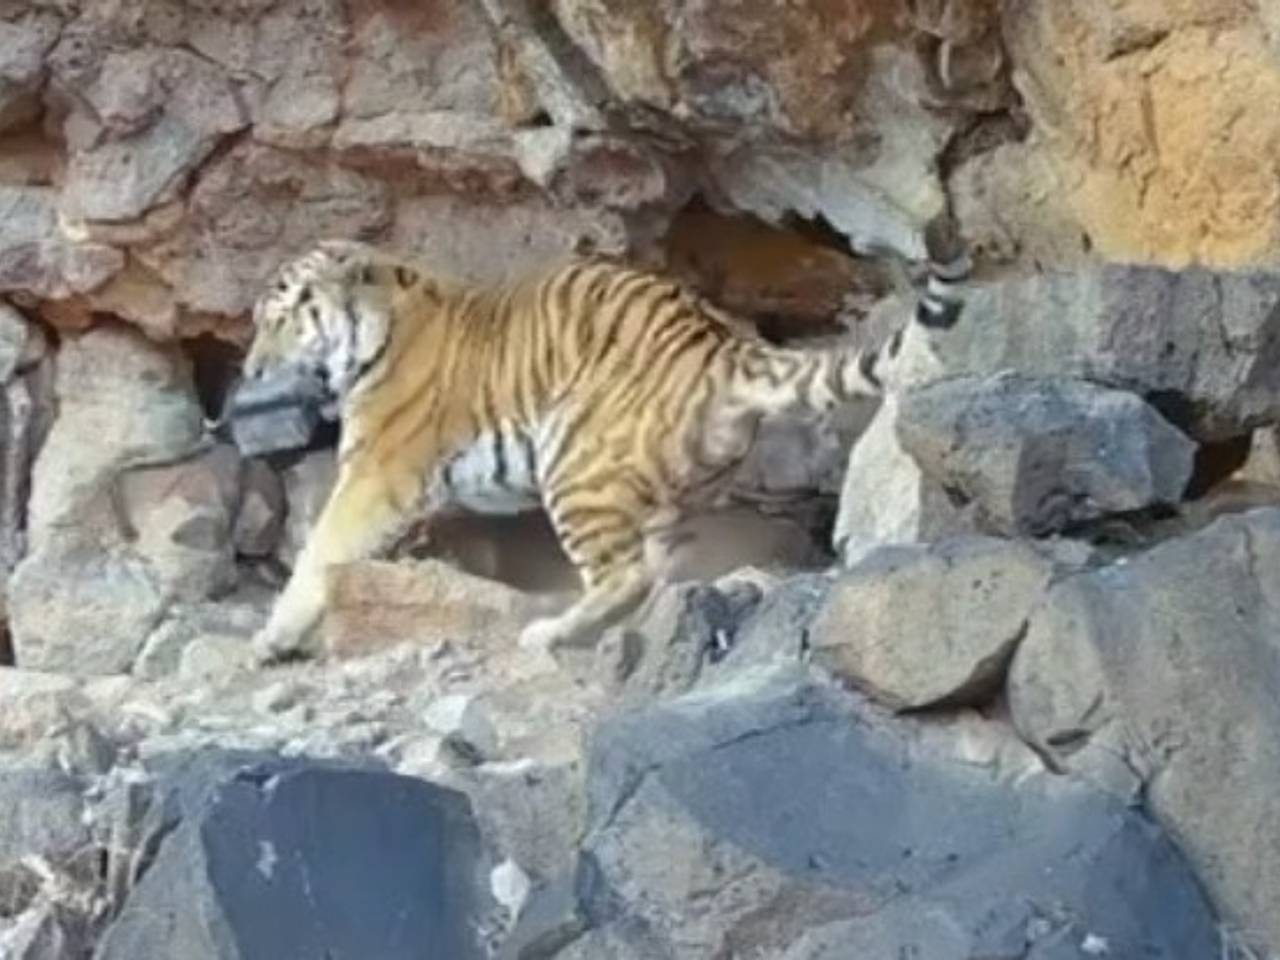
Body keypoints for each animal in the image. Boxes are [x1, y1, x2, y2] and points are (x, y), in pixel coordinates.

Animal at [241, 232, 969, 663]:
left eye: (278, 320)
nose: (248, 369)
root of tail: (721, 345)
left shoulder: (374, 472)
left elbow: (321, 548)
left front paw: (275, 635)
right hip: (674, 497)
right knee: (661, 573)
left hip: (574, 465)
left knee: (625, 573)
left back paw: (552, 632)